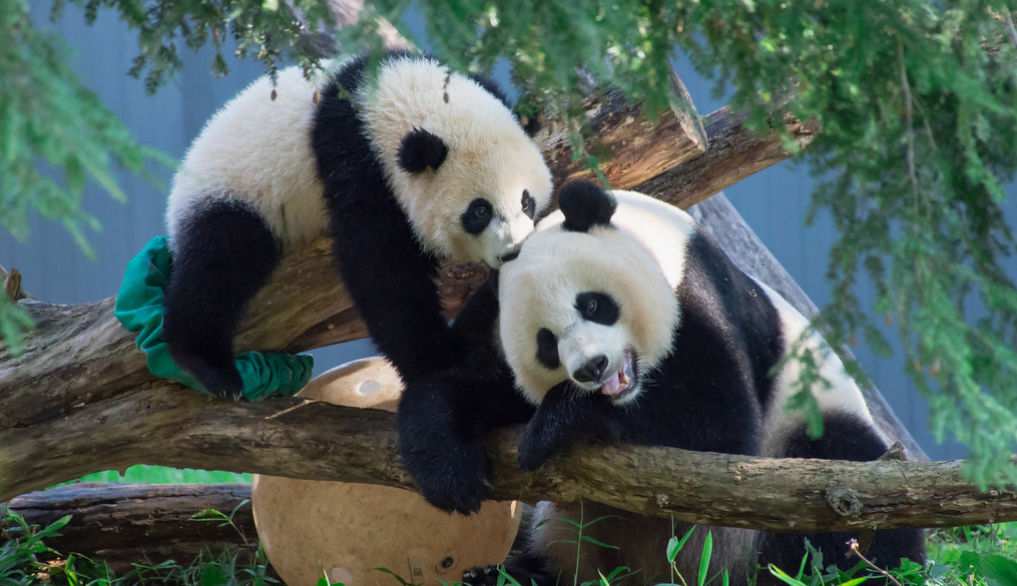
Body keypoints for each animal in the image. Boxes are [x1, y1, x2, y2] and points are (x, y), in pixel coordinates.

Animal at [162, 50, 552, 398]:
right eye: (480, 211)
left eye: (526, 201)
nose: (513, 251)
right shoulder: (356, 162)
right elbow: (379, 268)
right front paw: (450, 359)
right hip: (234, 193)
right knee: (220, 262)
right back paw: (208, 365)